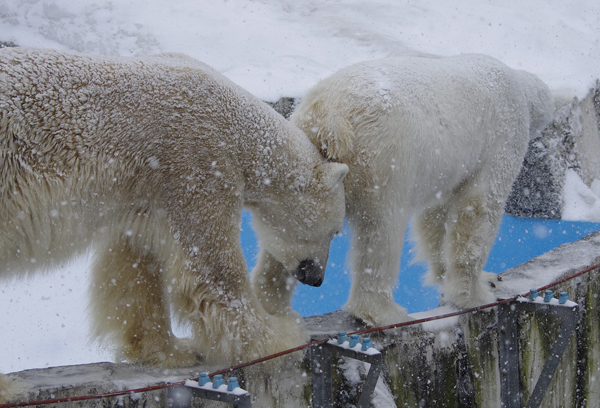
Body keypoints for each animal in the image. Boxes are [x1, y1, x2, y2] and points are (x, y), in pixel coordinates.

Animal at [0, 46, 346, 390]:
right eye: (336, 231)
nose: (316, 278)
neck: (238, 128)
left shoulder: (147, 190)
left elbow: (135, 264)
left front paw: (173, 351)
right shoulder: (199, 161)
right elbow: (214, 268)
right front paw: (280, 336)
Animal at [252, 55, 552, 328]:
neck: (517, 86)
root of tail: (329, 118)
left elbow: (436, 216)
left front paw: (451, 276)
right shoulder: (502, 137)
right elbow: (478, 209)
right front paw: (478, 291)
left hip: (300, 162)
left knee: (290, 230)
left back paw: (271, 305)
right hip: (383, 159)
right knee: (381, 231)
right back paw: (386, 313)